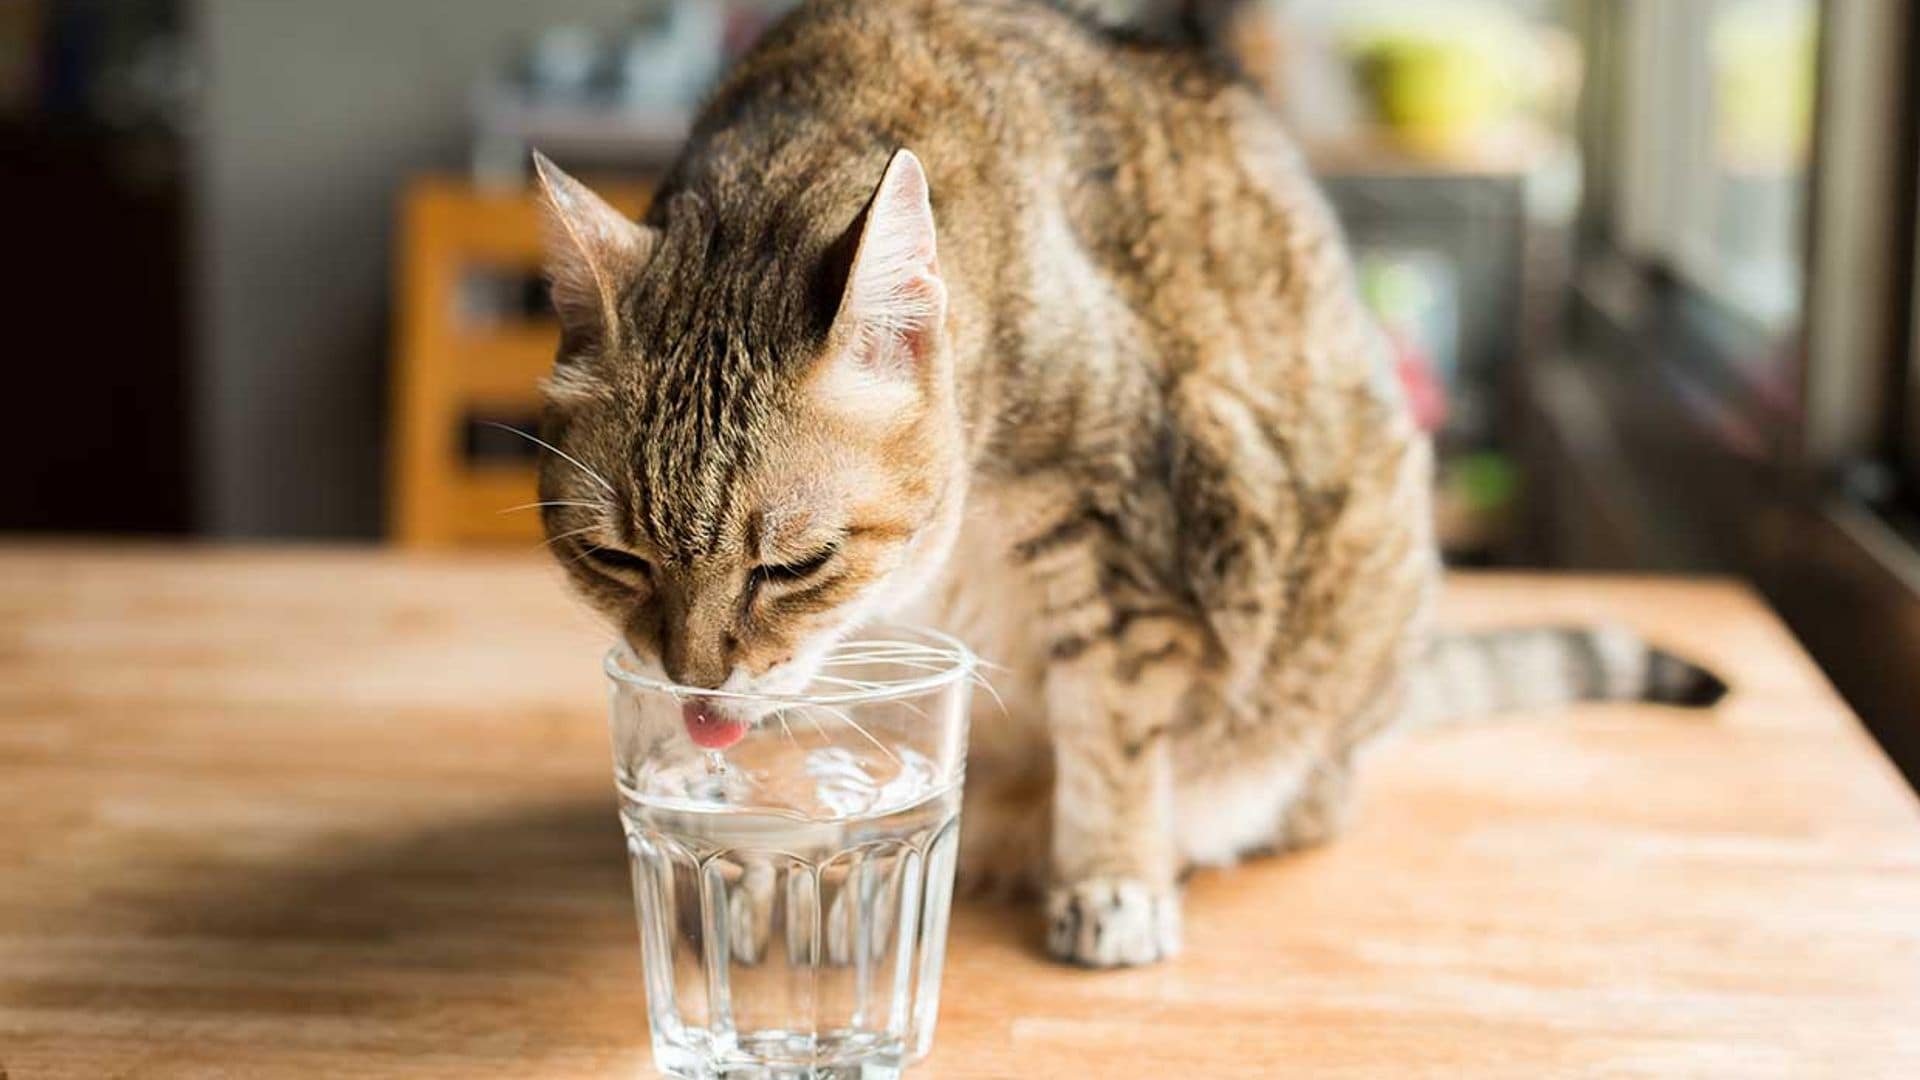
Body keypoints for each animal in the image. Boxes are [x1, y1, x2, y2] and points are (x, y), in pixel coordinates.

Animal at [526, 0, 1728, 960]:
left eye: (795, 564)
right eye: (616, 557)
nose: (689, 684)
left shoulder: (1119, 526)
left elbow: (1113, 725)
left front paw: (1112, 876)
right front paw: (757, 839)